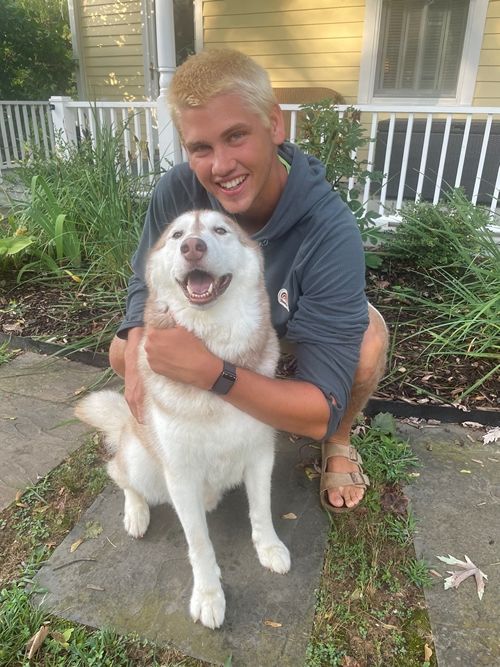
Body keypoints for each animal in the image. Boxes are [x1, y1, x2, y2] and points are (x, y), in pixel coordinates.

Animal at [75, 210, 290, 629]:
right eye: (176, 236)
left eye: (220, 230)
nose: (193, 246)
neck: (213, 354)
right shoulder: (180, 474)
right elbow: (200, 543)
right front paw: (208, 595)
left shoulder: (261, 455)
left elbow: (261, 510)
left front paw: (268, 547)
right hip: (142, 462)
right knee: (120, 475)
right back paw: (136, 511)